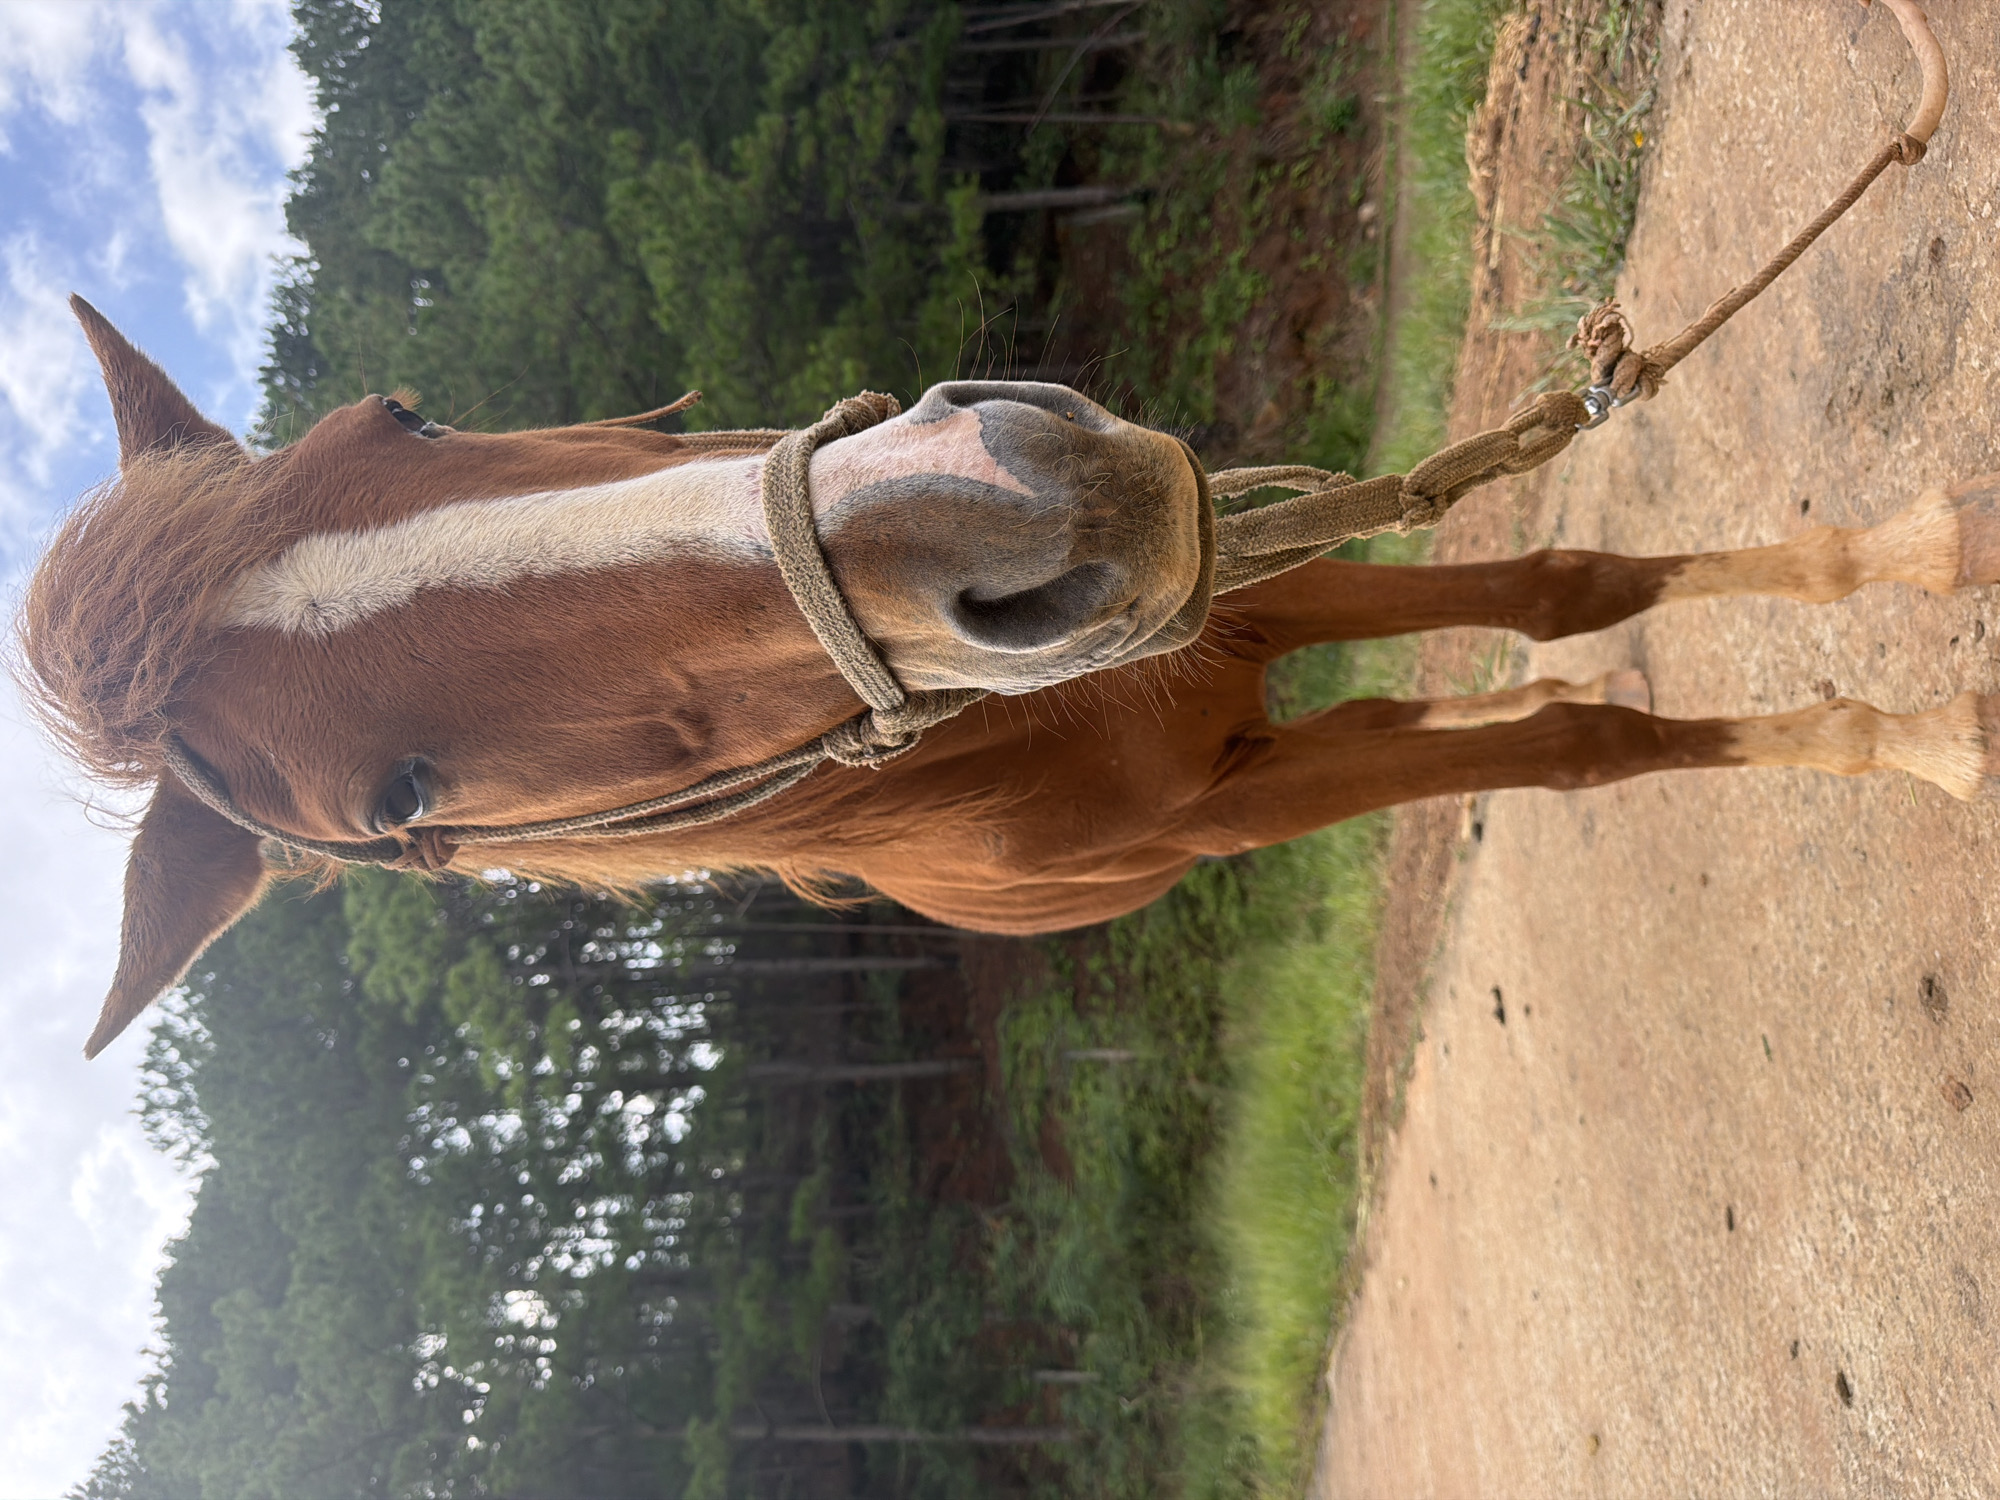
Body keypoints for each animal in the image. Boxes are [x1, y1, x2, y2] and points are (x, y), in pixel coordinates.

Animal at [20, 297, 2000, 1059]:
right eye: (404, 816)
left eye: (409, 414)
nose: (997, 494)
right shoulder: (1254, 774)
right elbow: (1586, 737)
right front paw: (1931, 743)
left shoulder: (1244, 596)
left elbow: (1571, 583)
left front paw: (1930, 557)